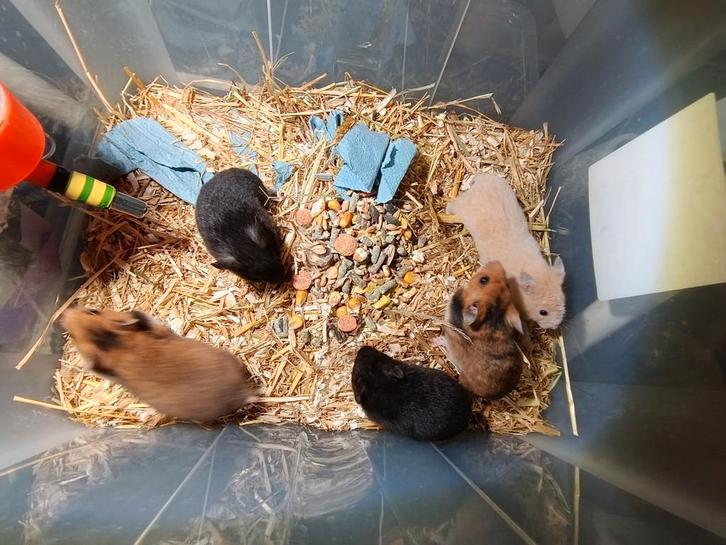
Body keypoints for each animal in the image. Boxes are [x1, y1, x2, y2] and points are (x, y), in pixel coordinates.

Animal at [448, 173, 565, 329]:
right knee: (453, 204)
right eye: (543, 312)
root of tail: (480, 180)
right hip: (463, 206)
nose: (554, 327)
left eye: (563, 303)